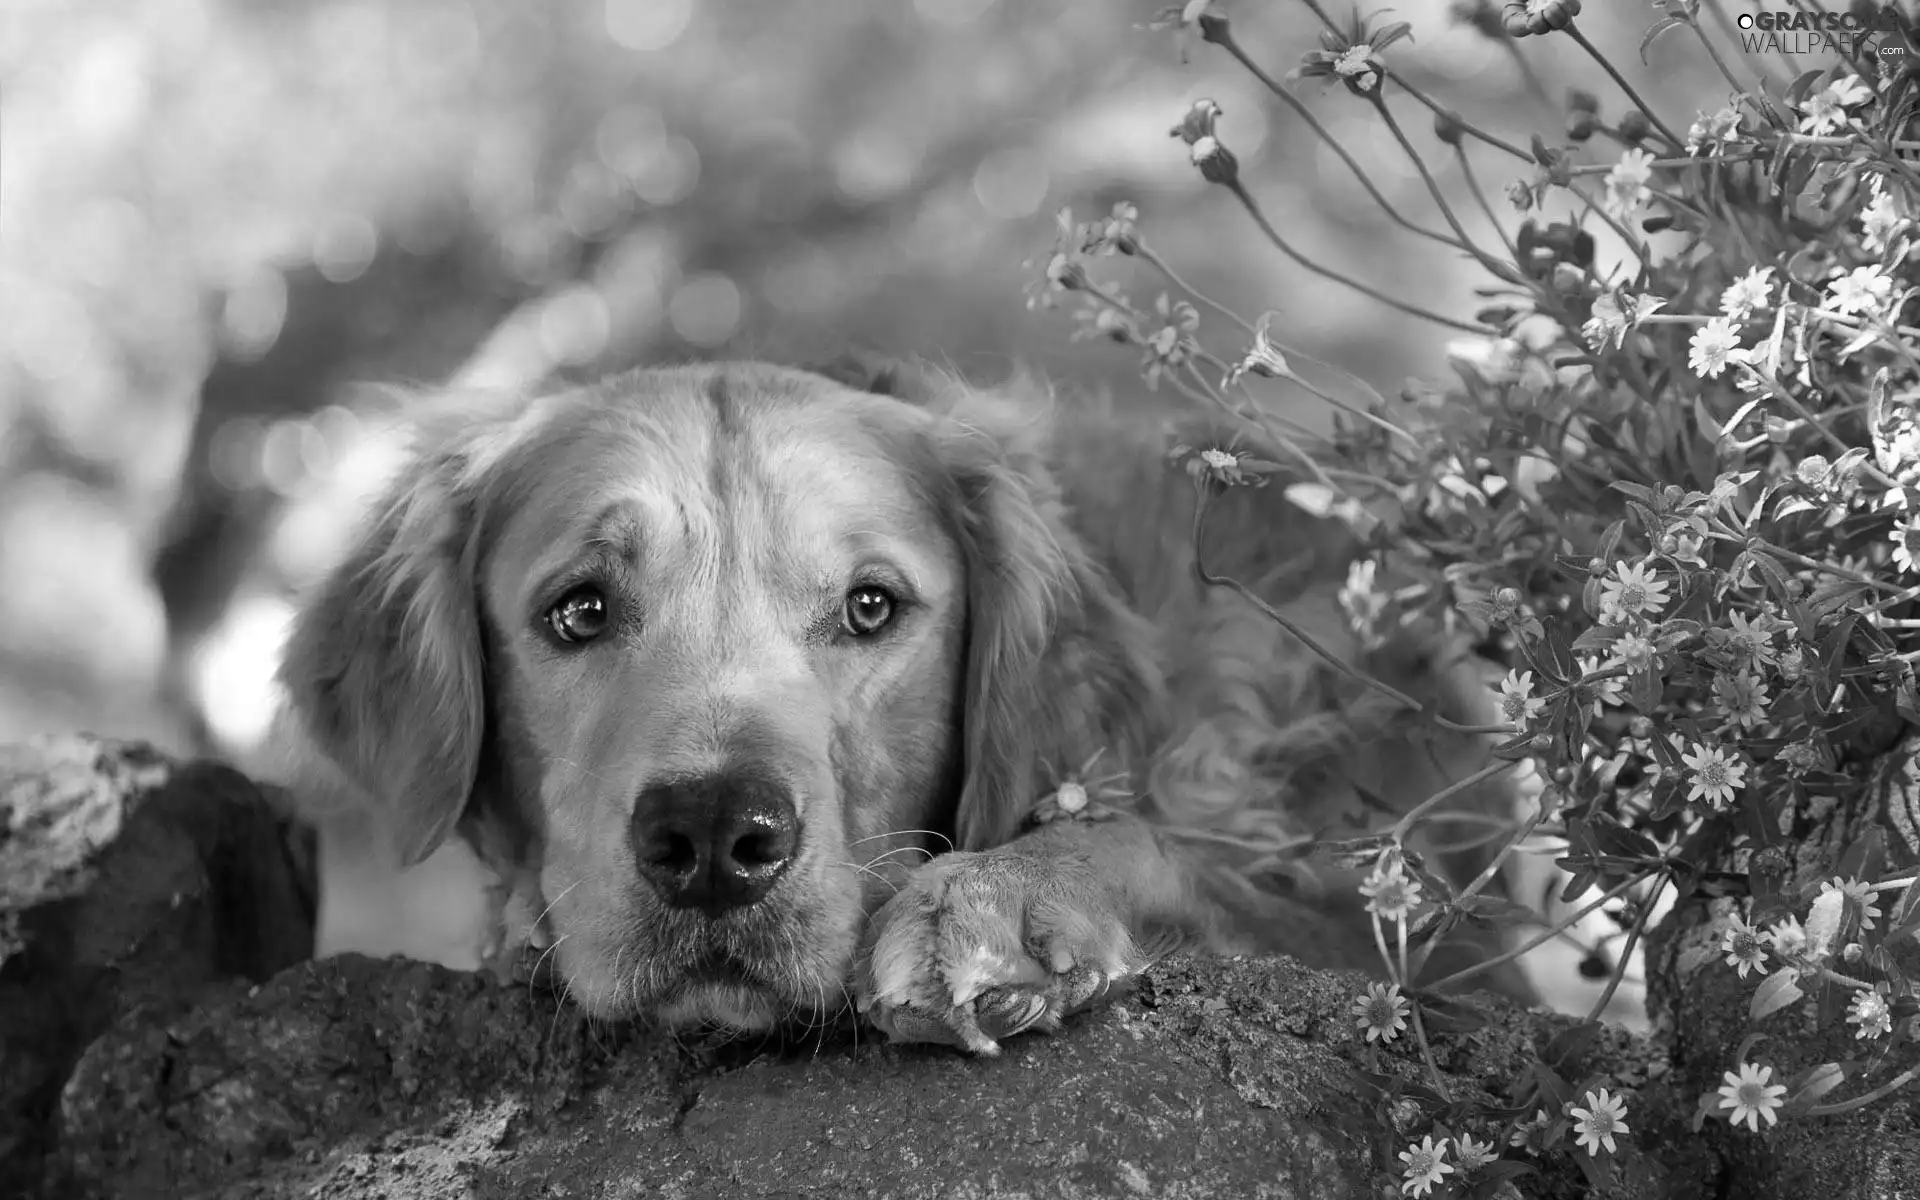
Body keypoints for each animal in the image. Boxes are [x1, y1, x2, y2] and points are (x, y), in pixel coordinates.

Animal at [270, 360, 1505, 1052]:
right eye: (579, 611)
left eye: (871, 606)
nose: (714, 839)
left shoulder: (1393, 931)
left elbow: (1152, 839)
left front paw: (1002, 896)